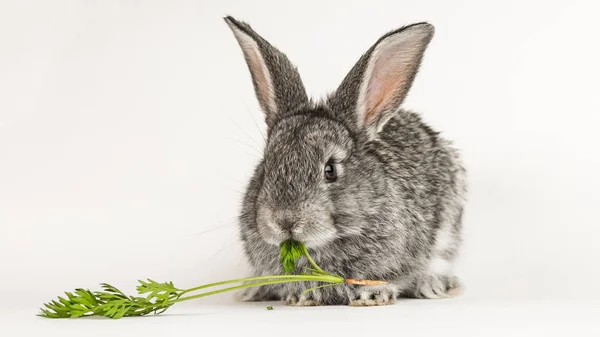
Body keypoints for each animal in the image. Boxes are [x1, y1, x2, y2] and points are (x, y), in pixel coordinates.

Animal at [223, 15, 466, 304]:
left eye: (330, 170)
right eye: (266, 167)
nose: (285, 221)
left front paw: (374, 295)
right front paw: (300, 297)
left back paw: (434, 284)